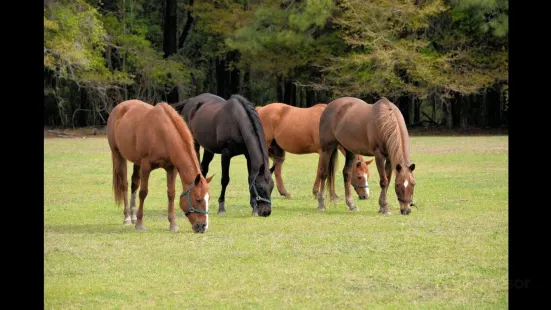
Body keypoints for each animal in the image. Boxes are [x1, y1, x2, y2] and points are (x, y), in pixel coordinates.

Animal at [106, 99, 215, 232]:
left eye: (208, 198)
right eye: (198, 199)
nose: (203, 226)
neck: (162, 133)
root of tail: (118, 108)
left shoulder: (171, 169)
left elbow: (171, 193)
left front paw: (173, 224)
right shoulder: (146, 166)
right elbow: (143, 192)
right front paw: (140, 224)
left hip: (136, 161)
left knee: (134, 184)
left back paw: (133, 217)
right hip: (118, 155)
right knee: (124, 185)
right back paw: (127, 218)